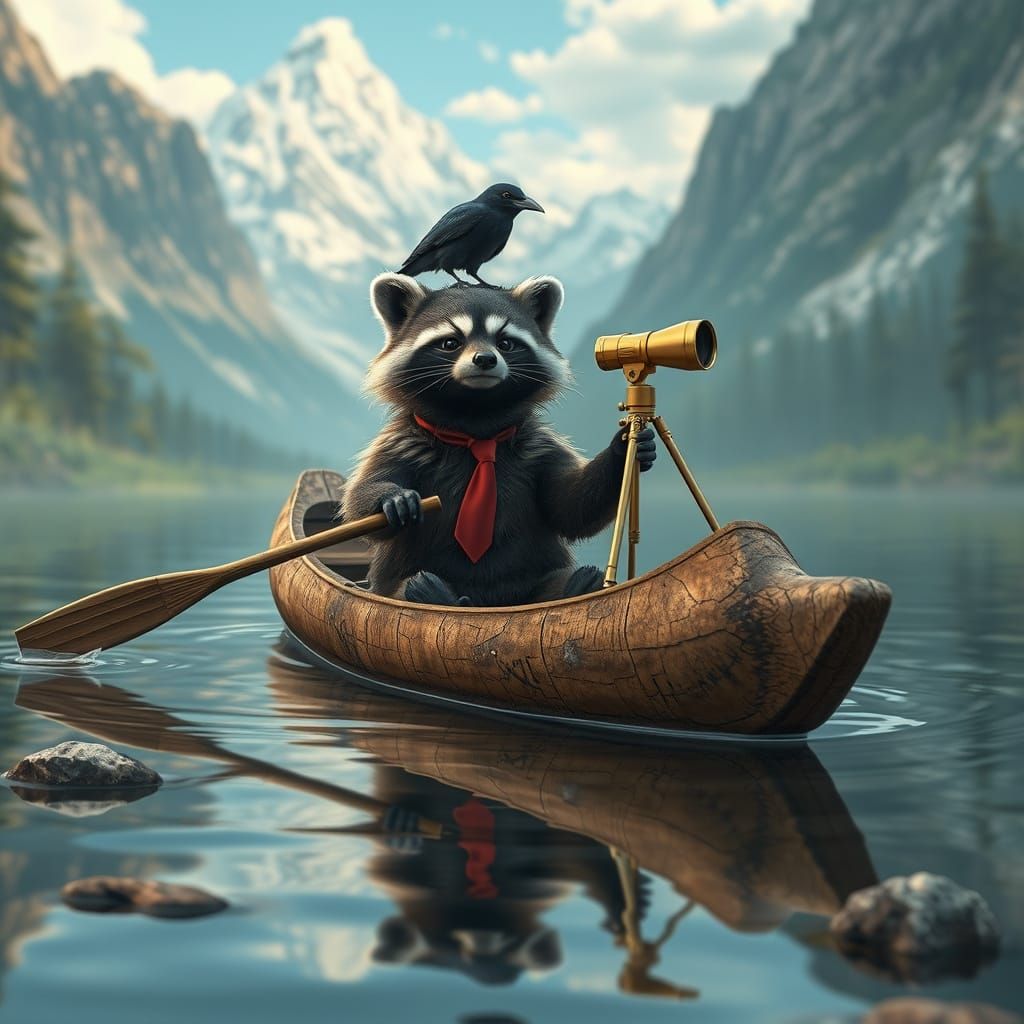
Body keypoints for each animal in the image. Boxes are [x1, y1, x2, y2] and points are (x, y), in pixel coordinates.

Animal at [342, 273, 655, 606]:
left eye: (505, 343)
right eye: (450, 342)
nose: (485, 359)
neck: (476, 425)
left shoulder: (539, 448)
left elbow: (569, 506)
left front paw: (622, 450)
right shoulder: (401, 443)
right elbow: (361, 499)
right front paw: (391, 497)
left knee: (565, 578)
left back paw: (578, 583)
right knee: (408, 587)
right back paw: (432, 592)